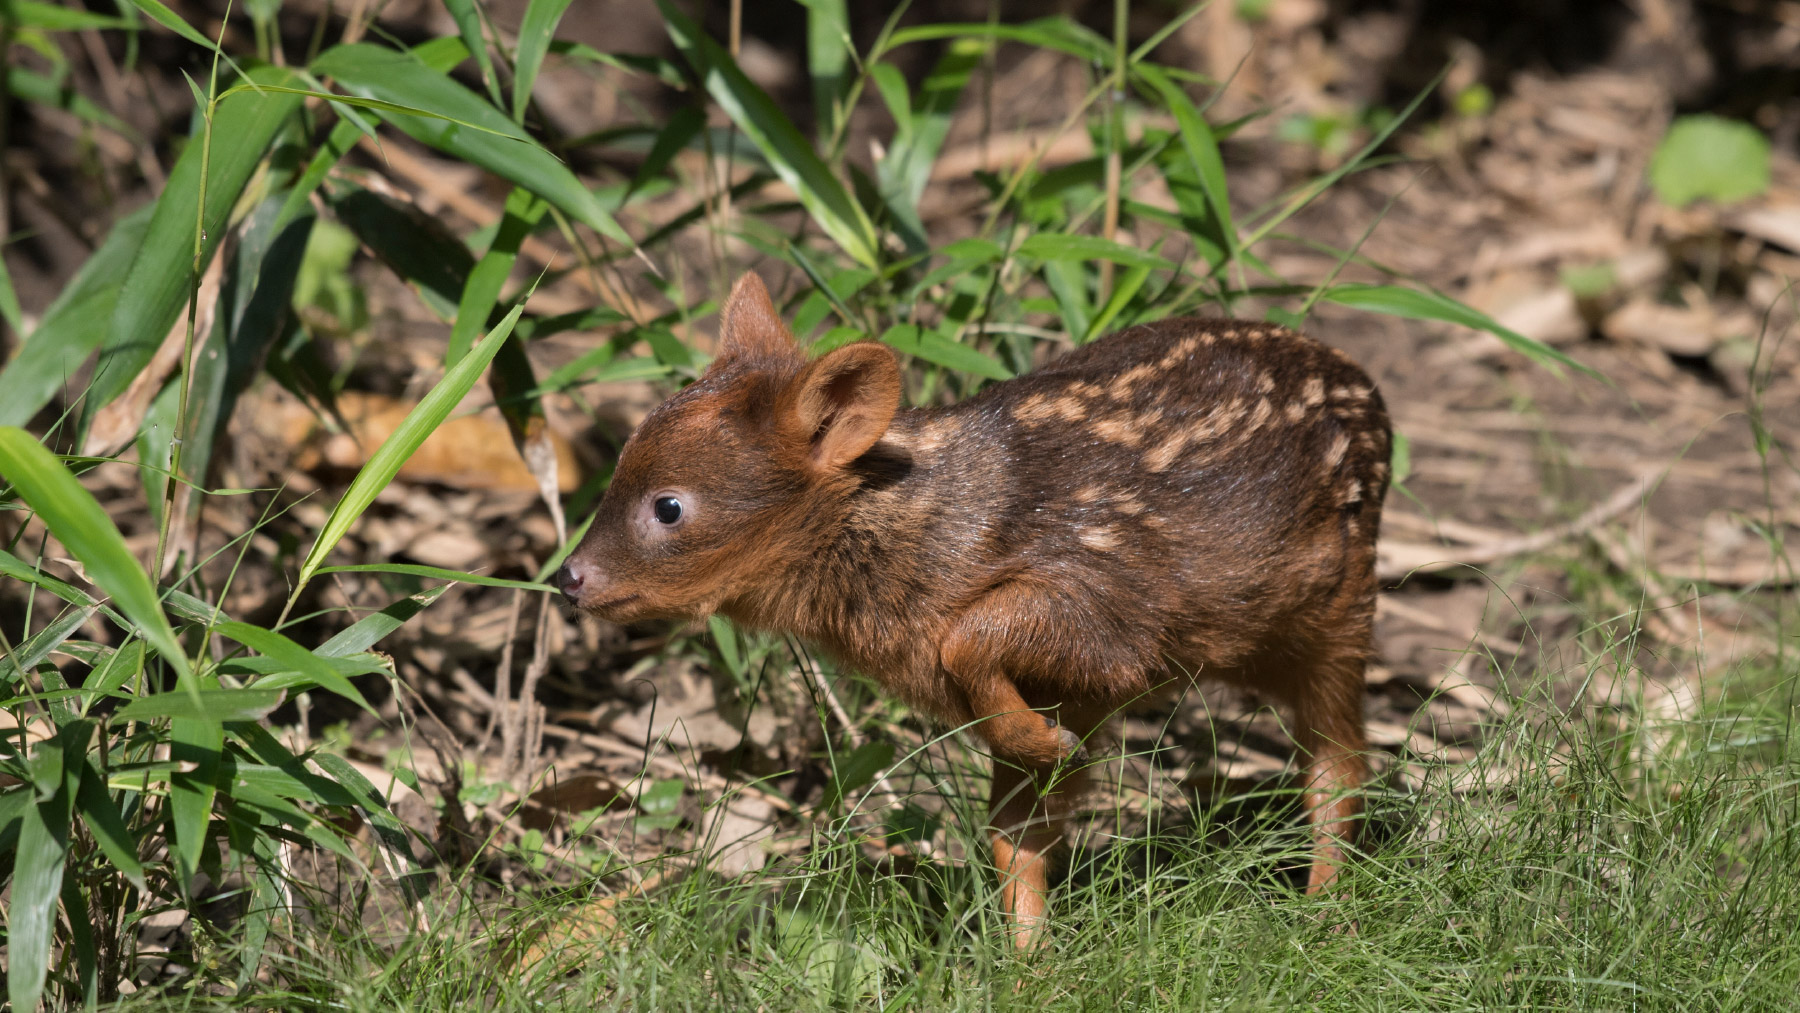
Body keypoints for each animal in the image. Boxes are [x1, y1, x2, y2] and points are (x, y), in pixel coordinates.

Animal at [561, 273, 1389, 950]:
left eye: (669, 506)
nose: (569, 577)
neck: (932, 539)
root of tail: (1371, 393)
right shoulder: (1074, 691)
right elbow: (1016, 830)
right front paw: (1027, 970)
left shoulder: (1111, 605)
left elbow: (973, 635)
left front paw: (1044, 743)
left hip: (1340, 610)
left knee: (1340, 760)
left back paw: (1327, 915)